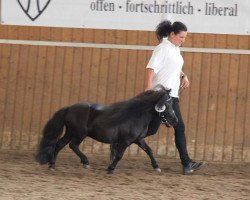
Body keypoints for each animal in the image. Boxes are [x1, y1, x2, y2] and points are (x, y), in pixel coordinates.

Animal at [36, 85, 178, 173]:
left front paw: (156, 167)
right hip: (80, 134)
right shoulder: (125, 141)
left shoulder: (138, 139)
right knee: (73, 145)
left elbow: (149, 150)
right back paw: (85, 162)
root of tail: (69, 108)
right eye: (168, 104)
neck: (135, 115)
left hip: (70, 132)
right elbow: (119, 155)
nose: (175, 120)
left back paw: (52, 165)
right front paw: (110, 168)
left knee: (59, 145)